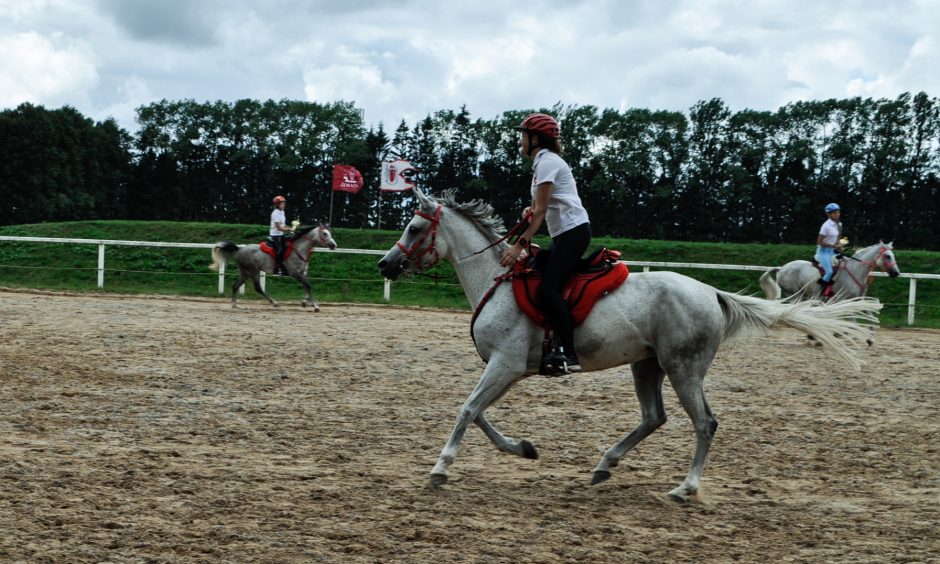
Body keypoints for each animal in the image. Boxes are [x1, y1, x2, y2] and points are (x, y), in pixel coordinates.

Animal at [209, 224, 338, 308]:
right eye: (325, 233)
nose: (333, 245)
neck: (299, 249)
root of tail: (239, 249)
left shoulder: (302, 273)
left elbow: (306, 285)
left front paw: (305, 302)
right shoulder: (294, 273)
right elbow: (308, 285)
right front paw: (315, 305)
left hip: (245, 272)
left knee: (235, 285)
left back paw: (235, 305)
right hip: (253, 271)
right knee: (258, 288)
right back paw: (274, 302)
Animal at [376, 191, 880, 502]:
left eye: (415, 227)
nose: (385, 264)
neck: (495, 282)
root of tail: (711, 293)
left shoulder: (504, 365)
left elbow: (466, 410)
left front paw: (441, 468)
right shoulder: (506, 369)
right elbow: (478, 413)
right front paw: (524, 449)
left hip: (683, 368)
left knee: (704, 423)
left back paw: (684, 489)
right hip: (648, 366)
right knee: (654, 417)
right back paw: (605, 465)